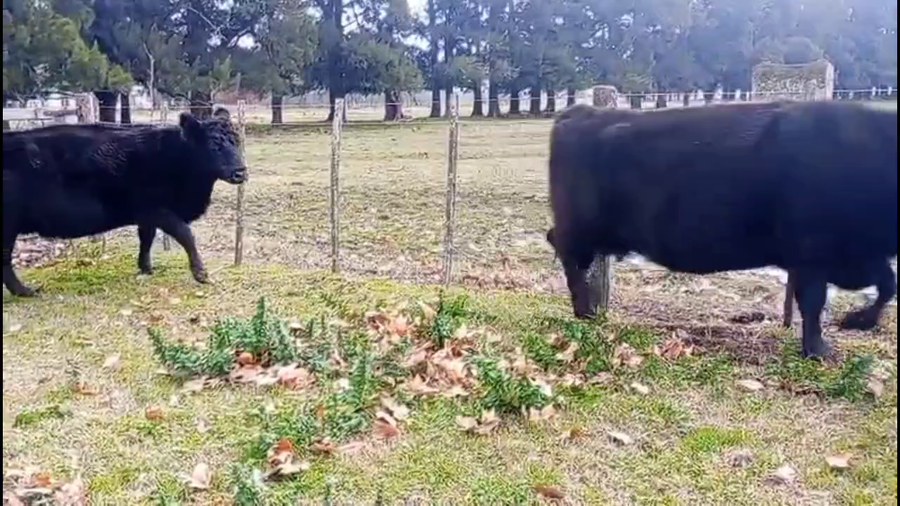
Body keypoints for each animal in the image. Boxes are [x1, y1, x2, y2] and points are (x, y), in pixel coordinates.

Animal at [3, 108, 247, 297]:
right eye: (214, 145)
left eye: (237, 141)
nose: (240, 172)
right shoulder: (159, 209)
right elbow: (185, 235)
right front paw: (201, 274)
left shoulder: (146, 215)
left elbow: (146, 239)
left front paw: (146, 268)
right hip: (8, 227)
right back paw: (25, 291)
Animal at [546, 100, 897, 358]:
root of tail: (581, 111)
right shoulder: (811, 254)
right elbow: (814, 302)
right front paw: (819, 351)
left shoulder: (856, 256)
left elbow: (887, 284)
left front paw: (856, 321)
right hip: (580, 226)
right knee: (564, 250)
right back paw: (584, 309)